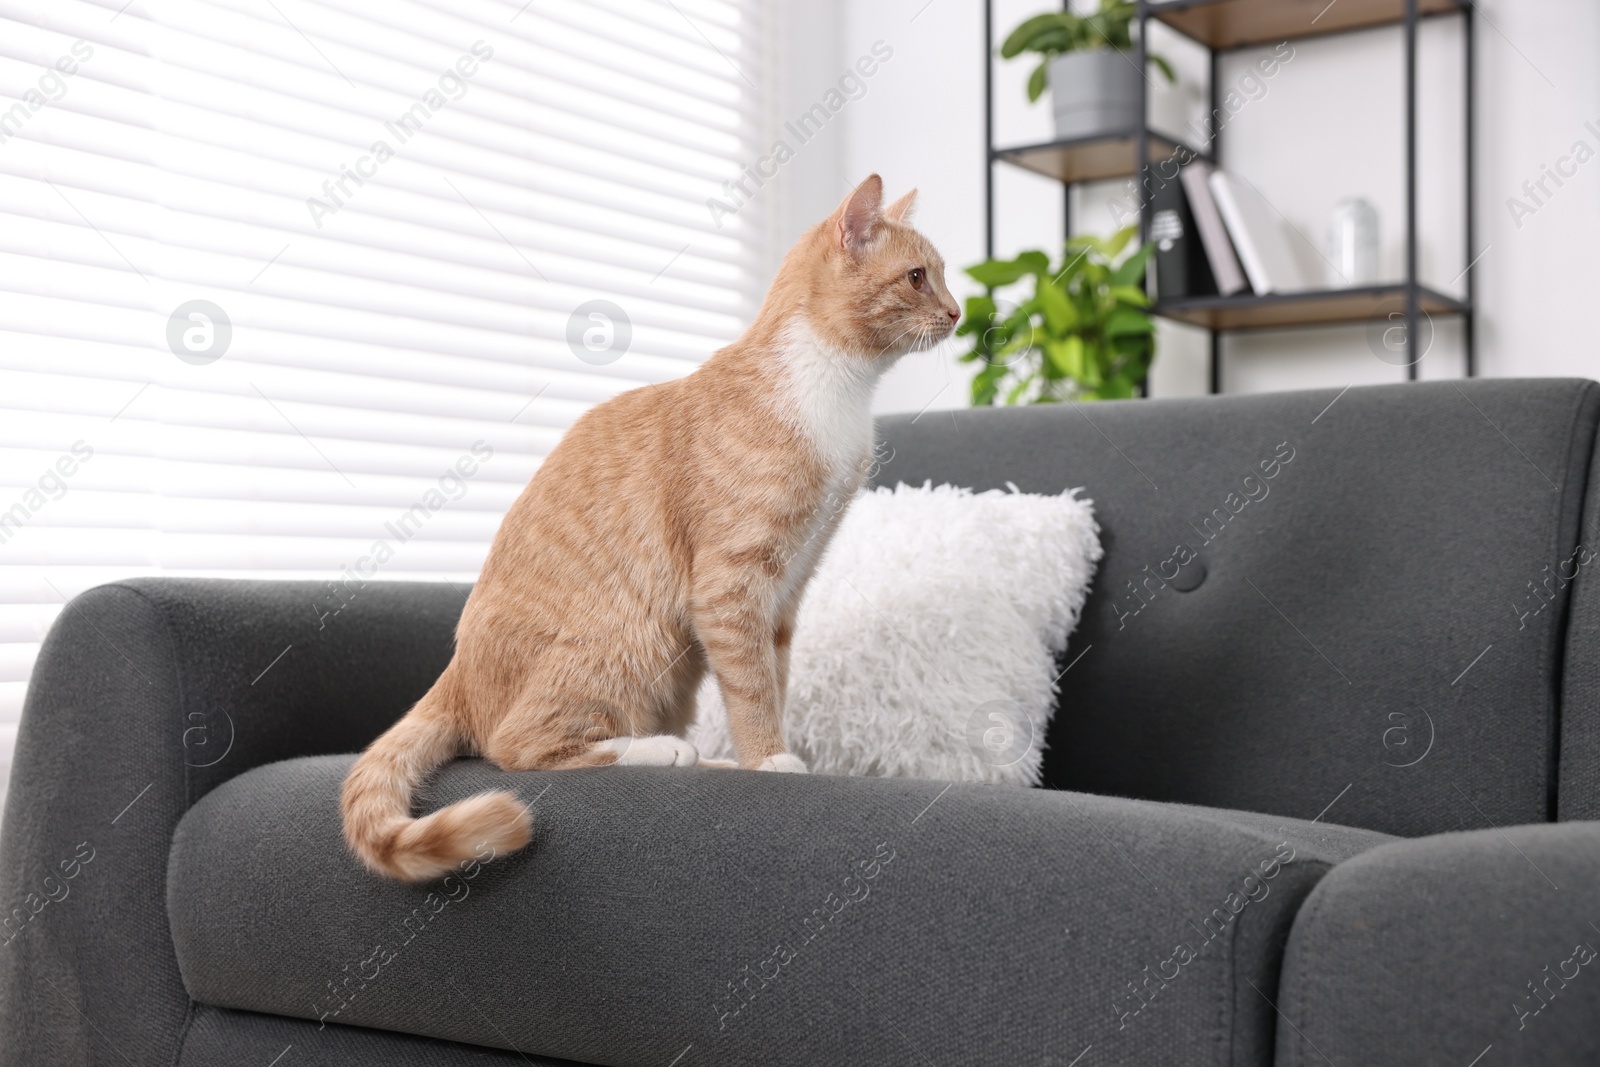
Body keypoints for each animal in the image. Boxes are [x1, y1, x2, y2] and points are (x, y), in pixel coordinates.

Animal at [339, 173, 953, 876]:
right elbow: (751, 686)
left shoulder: (787, 589)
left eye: (941, 275)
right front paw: (770, 759)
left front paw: (757, 757)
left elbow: (773, 677)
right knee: (513, 745)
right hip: (628, 638)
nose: (959, 312)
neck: (836, 392)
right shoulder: (730, 584)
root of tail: (457, 675)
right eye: (916, 277)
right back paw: (660, 749)